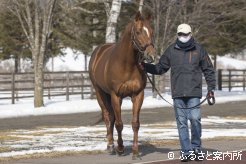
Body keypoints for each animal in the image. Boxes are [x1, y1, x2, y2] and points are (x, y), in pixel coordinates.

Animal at [88, 11, 156, 159]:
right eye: (138, 32)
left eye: (152, 31)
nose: (151, 55)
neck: (126, 65)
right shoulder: (116, 96)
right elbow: (119, 124)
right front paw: (120, 149)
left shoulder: (138, 95)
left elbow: (135, 124)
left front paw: (135, 152)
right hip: (100, 93)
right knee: (107, 117)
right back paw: (110, 146)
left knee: (111, 117)